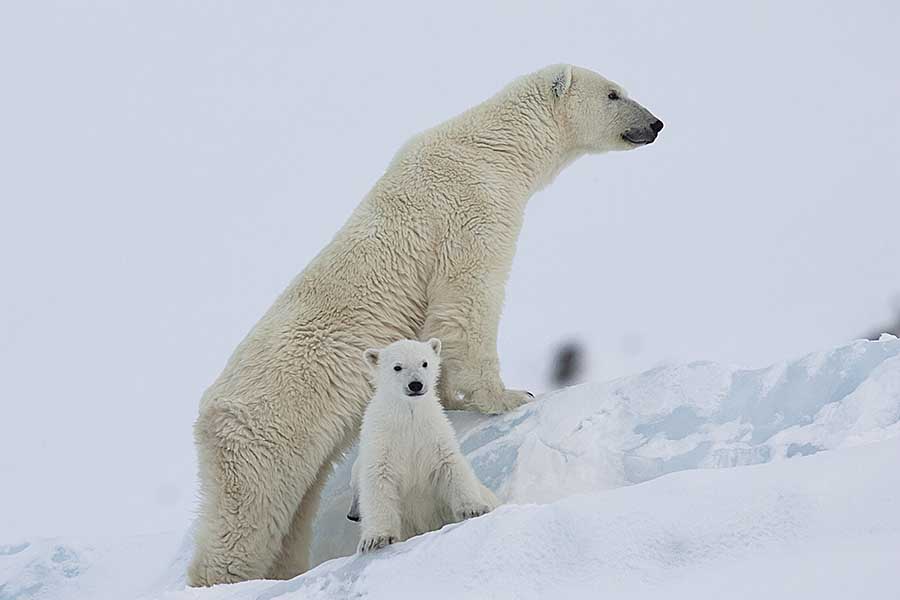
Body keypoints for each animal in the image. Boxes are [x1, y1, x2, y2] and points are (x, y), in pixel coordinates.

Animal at [350, 340, 496, 552]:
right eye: (397, 366)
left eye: (424, 363)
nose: (416, 384)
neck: (410, 417)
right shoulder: (382, 441)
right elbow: (378, 482)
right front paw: (376, 539)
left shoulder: (434, 435)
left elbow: (452, 467)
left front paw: (474, 509)